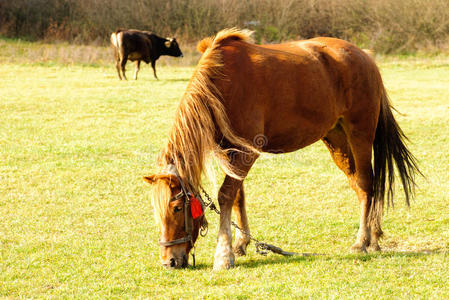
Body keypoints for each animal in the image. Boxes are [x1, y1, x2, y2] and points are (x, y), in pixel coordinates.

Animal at [142, 29, 418, 270]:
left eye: (177, 208)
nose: (169, 261)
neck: (221, 85)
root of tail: (365, 56)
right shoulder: (231, 153)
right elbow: (238, 196)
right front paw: (241, 243)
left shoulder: (248, 151)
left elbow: (225, 196)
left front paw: (224, 255)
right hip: (337, 139)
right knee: (361, 187)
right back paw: (374, 236)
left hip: (360, 134)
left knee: (366, 184)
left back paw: (362, 241)